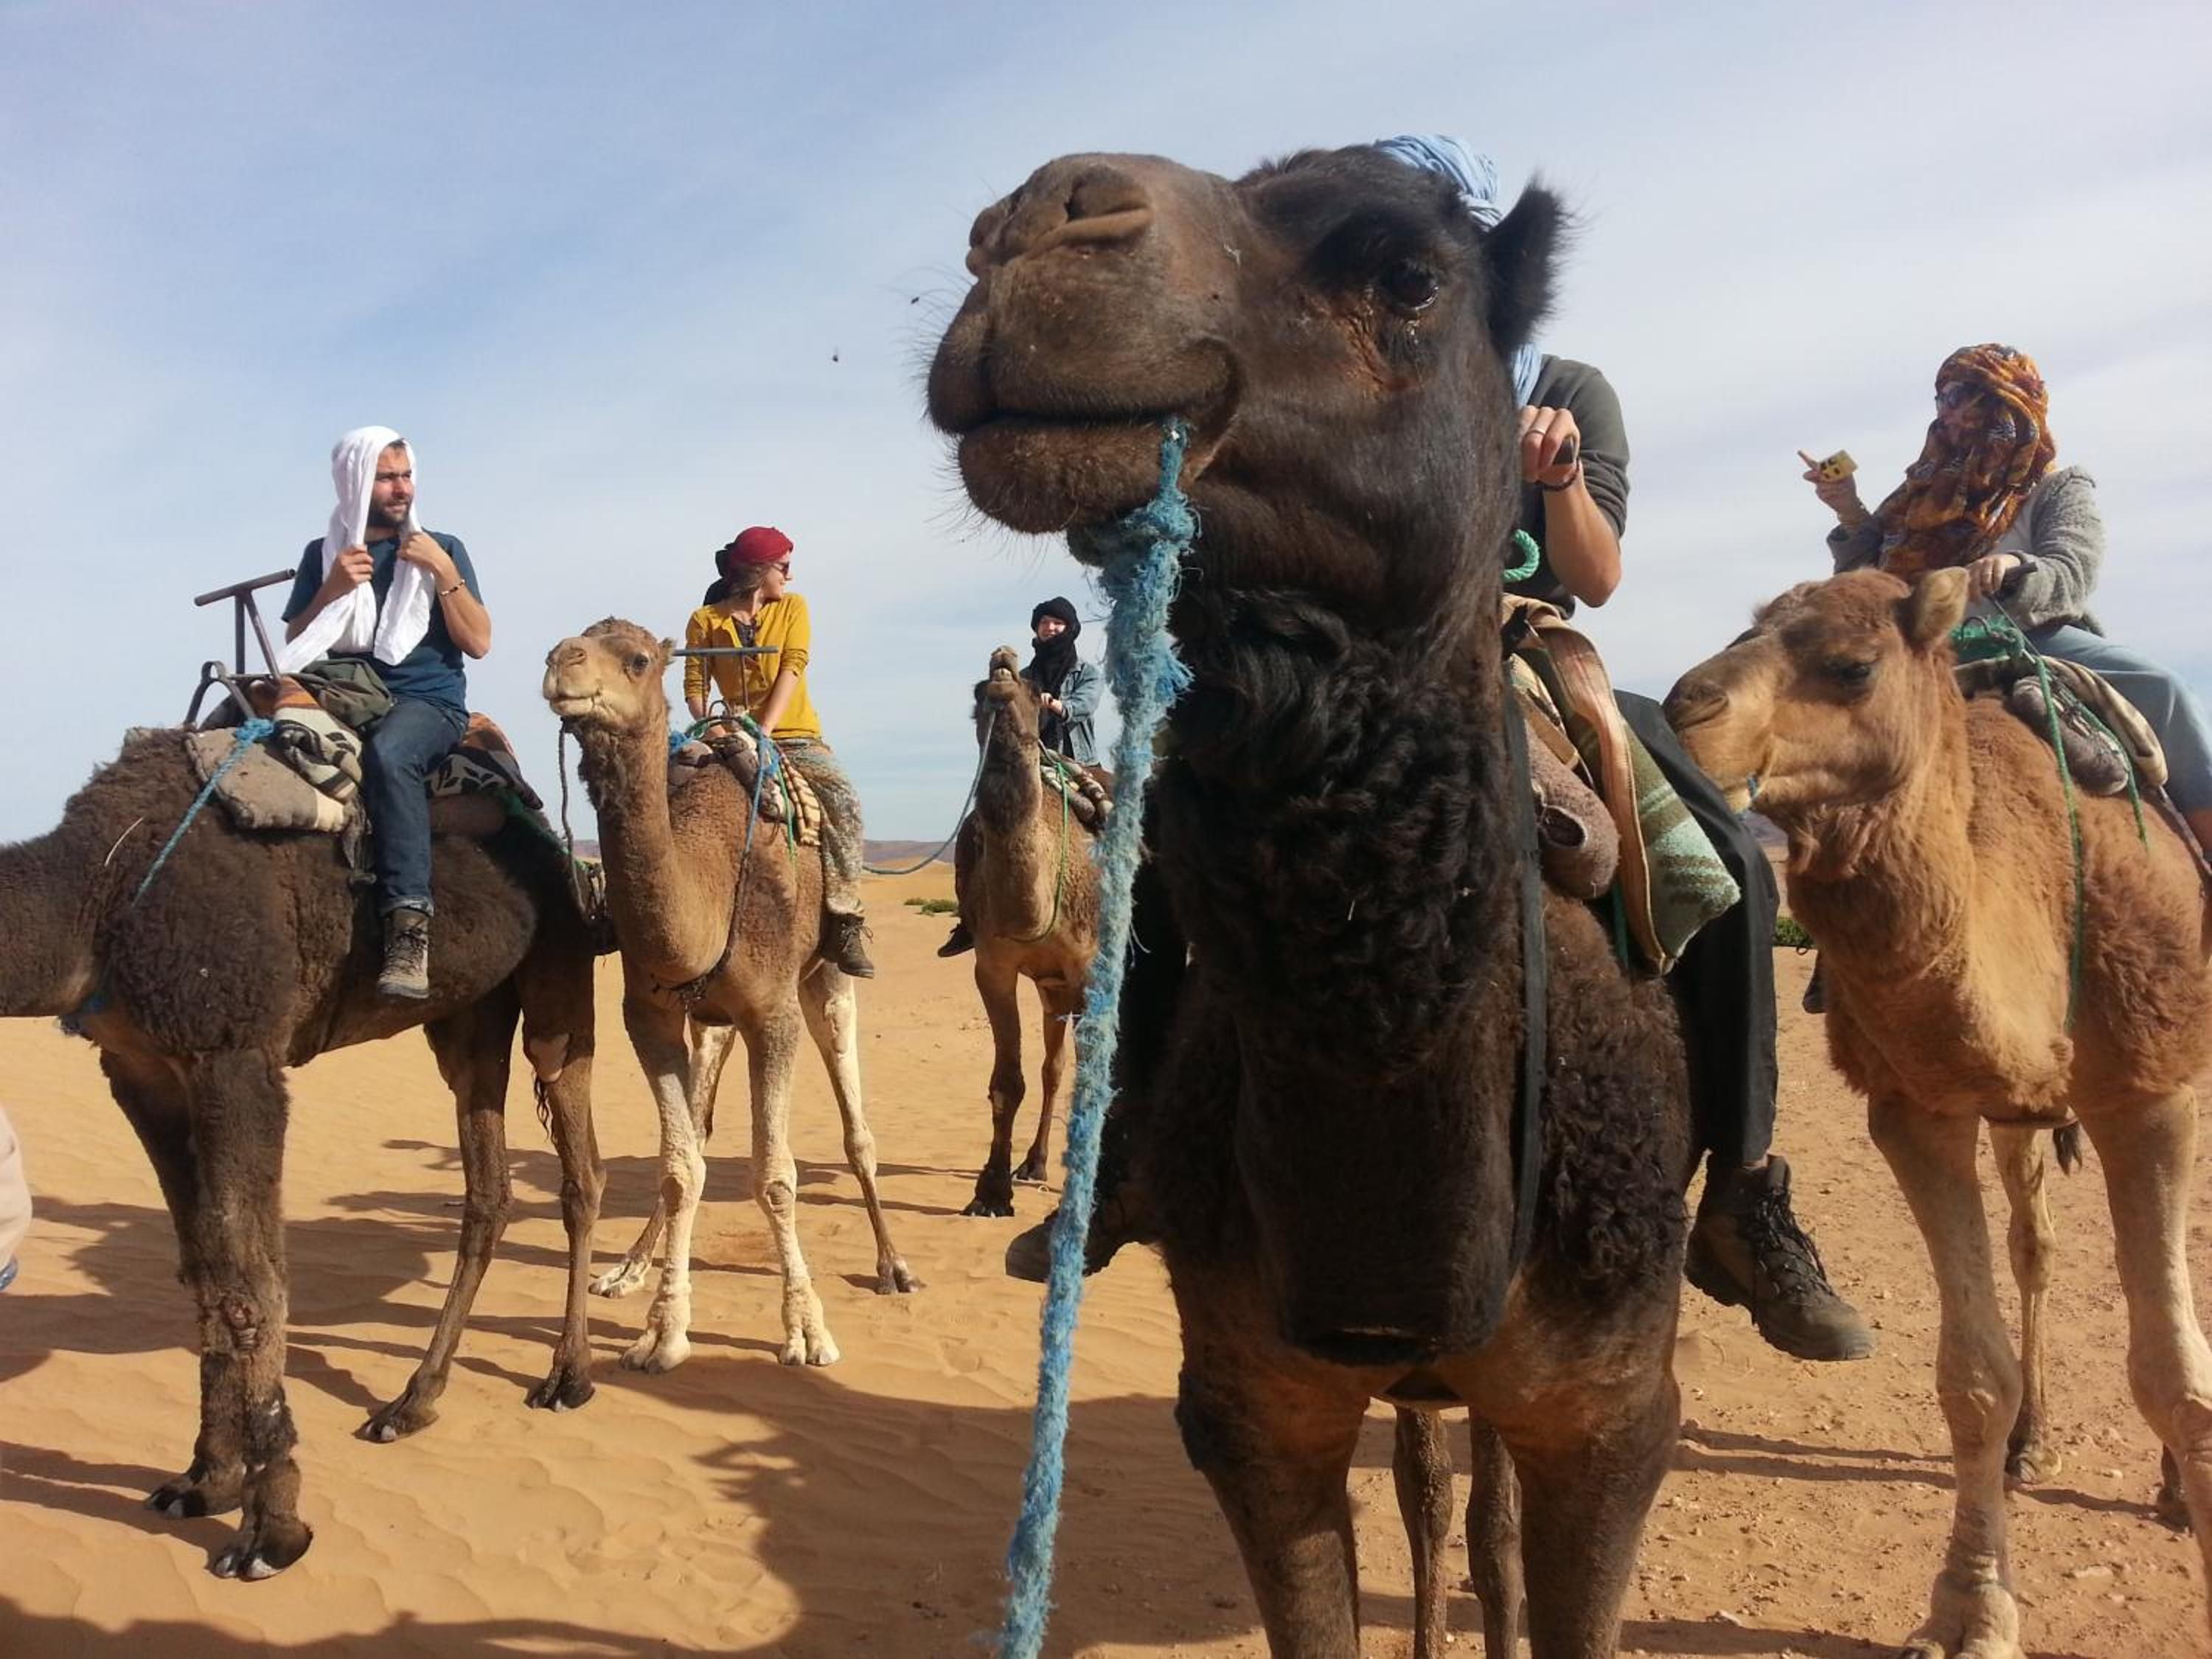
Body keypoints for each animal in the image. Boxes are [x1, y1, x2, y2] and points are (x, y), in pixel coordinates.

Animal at [0, 730, 602, 1578]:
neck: (95, 894)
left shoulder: (235, 1049)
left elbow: (252, 1280)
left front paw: (271, 1530)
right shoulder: (140, 1069)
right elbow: (203, 1269)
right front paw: (203, 1480)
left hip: (557, 968)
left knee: (580, 1167)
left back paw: (567, 1376)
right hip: (468, 1012)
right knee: (488, 1188)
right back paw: (412, 1401)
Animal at [541, 619, 916, 1374]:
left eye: (638, 659)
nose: (561, 663)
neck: (707, 874)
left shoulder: (773, 1013)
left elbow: (774, 1175)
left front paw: (806, 1330)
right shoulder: (649, 1016)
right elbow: (680, 1169)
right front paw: (661, 1331)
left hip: (825, 979)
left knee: (857, 1129)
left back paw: (892, 1266)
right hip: (712, 1021)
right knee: (703, 1126)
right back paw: (629, 1268)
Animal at [953, 647, 1101, 1218]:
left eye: (1037, 691)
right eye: (977, 691)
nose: (1002, 660)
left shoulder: (1088, 970)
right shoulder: (993, 967)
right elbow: (1007, 1083)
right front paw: (991, 1191)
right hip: (1052, 990)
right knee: (1052, 1068)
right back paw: (1034, 1164)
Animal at [1666, 566, 2212, 1658]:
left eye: (1852, 664)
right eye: (1747, 633)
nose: (1682, 712)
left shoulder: (2151, 1091)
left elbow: (2174, 1369)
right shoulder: (1921, 1108)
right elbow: (1972, 1380)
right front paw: (1972, 1610)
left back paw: (2172, 1488)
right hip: (2018, 1113)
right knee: (2036, 1244)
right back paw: (2035, 1439)